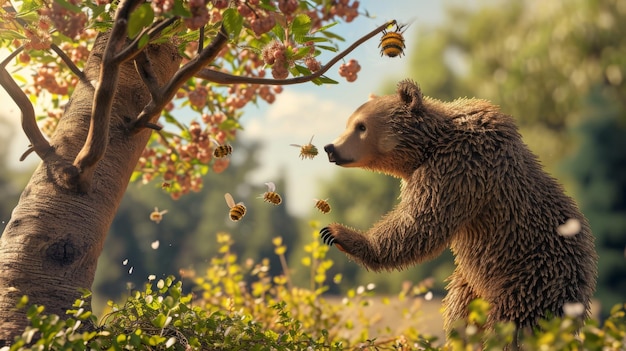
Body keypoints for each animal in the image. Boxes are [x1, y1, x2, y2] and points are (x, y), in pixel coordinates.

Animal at [320, 79, 596, 336]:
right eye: (349, 122)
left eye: (361, 126)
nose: (330, 148)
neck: (425, 149)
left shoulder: (457, 171)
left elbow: (420, 223)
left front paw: (338, 233)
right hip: (471, 284)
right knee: (460, 315)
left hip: (532, 278)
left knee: (515, 326)